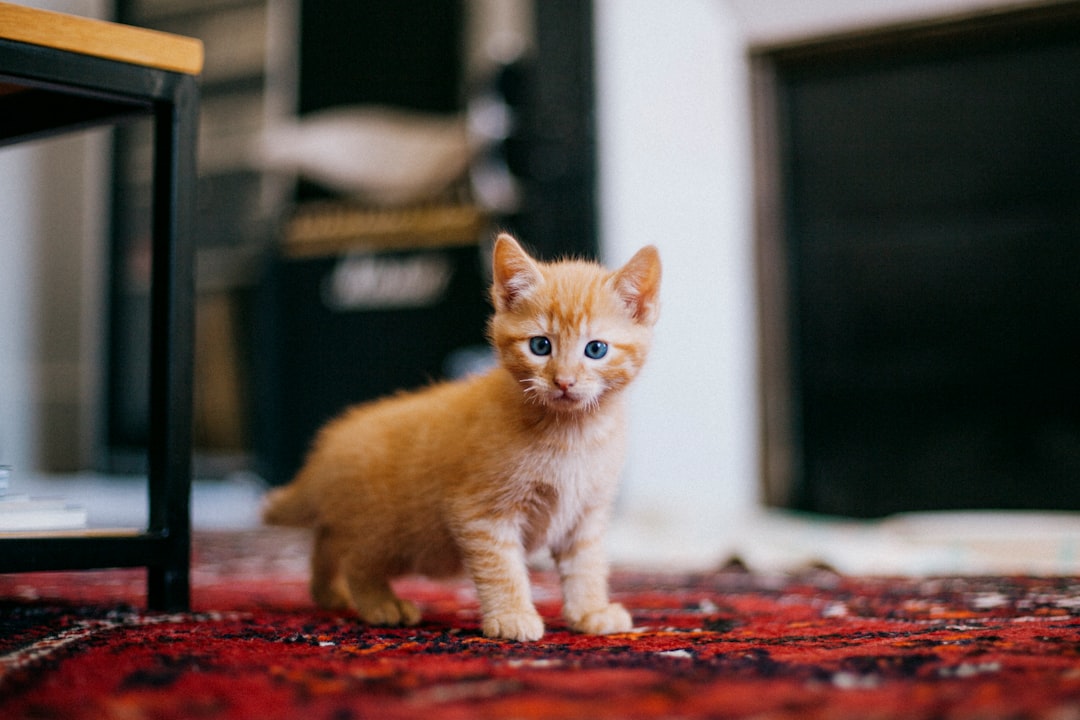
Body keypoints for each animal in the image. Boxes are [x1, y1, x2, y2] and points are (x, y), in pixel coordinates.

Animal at [265, 232, 660, 643]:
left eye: (595, 349)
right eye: (540, 346)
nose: (564, 381)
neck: (572, 433)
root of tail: (330, 445)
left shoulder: (586, 515)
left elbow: (587, 564)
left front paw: (590, 611)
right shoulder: (481, 513)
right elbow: (502, 569)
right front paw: (512, 616)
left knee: (326, 541)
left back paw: (328, 592)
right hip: (385, 531)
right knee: (356, 560)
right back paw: (381, 604)